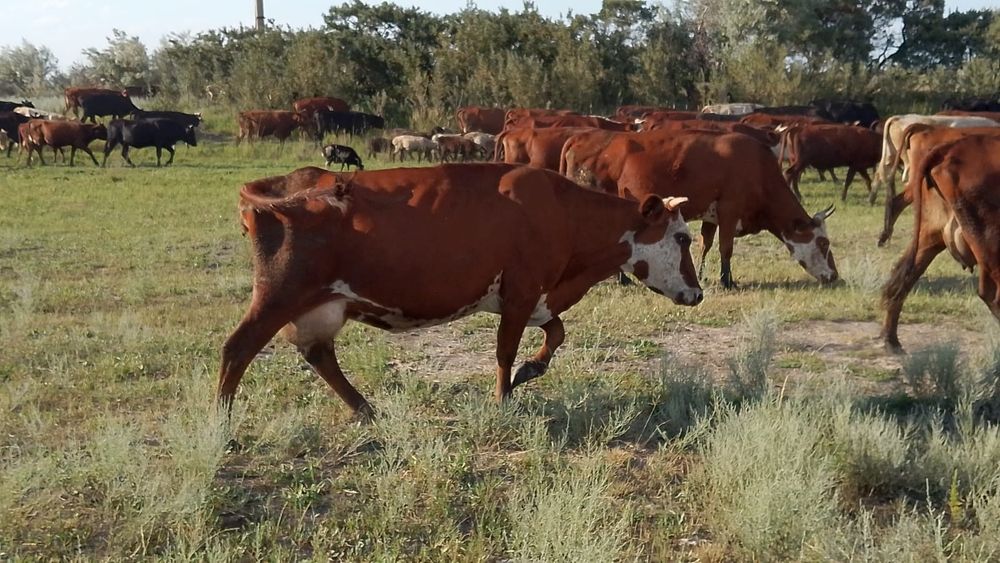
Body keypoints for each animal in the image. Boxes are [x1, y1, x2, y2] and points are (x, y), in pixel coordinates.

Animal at [219, 164, 702, 416]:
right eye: (683, 238)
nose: (698, 294)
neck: (562, 210)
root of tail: (283, 186)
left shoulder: (536, 297)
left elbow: (557, 333)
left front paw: (531, 370)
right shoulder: (522, 292)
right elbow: (505, 350)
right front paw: (504, 397)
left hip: (319, 307)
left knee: (319, 356)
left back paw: (365, 409)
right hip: (277, 296)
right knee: (237, 349)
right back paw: (223, 424)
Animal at [615, 131, 839, 288]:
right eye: (824, 243)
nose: (835, 276)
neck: (757, 168)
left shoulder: (711, 217)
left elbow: (705, 245)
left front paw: (702, 275)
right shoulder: (729, 212)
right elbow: (726, 248)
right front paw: (727, 281)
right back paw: (623, 279)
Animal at [881, 135, 1000, 352]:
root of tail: (950, 149)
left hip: (929, 237)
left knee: (900, 278)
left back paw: (891, 339)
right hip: (989, 243)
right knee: (992, 294)